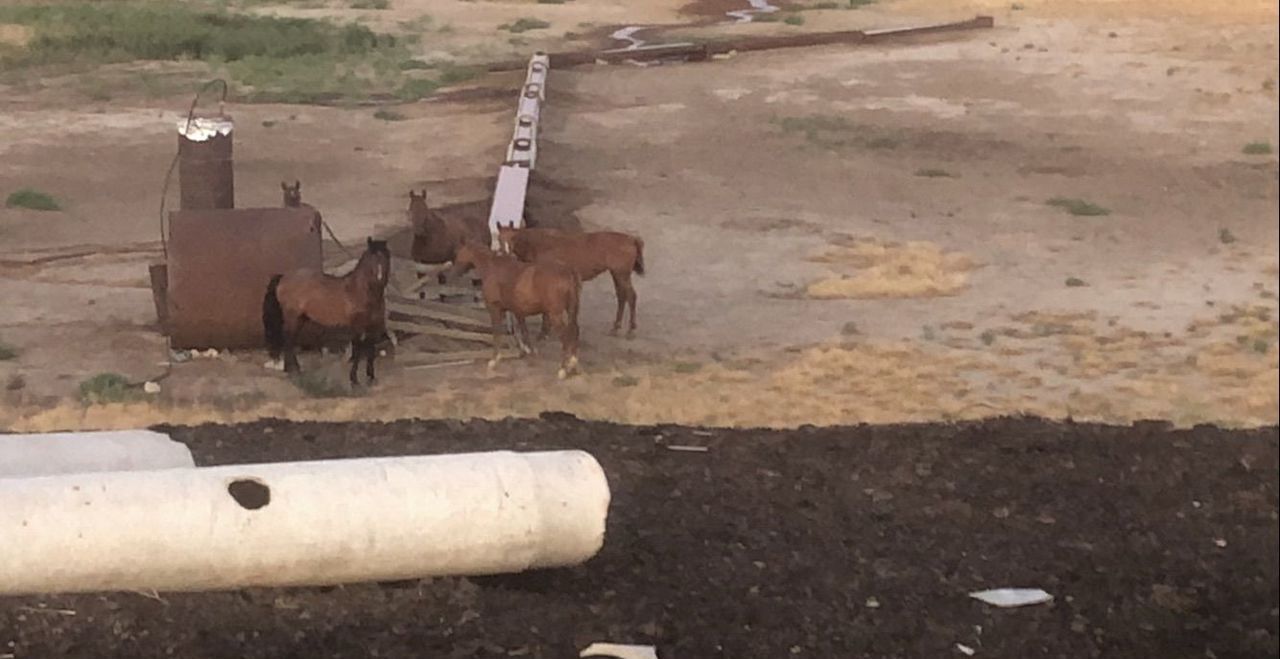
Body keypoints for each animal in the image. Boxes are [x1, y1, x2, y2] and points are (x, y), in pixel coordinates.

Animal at [262, 238, 391, 386]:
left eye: (386, 257)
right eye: (372, 258)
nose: (379, 278)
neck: (361, 292)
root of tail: (283, 277)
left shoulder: (374, 327)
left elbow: (371, 351)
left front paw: (371, 377)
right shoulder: (357, 327)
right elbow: (358, 350)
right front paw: (354, 379)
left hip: (300, 318)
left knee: (290, 340)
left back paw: (292, 370)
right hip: (292, 317)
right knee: (288, 340)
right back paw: (293, 370)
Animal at [437, 239, 583, 378]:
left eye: (458, 252)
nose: (451, 273)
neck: (491, 268)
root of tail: (567, 272)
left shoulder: (495, 309)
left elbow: (497, 333)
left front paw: (494, 361)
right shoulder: (517, 311)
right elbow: (524, 333)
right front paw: (530, 354)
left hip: (555, 314)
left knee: (566, 336)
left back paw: (563, 369)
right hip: (571, 311)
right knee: (574, 331)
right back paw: (573, 365)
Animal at [494, 225, 645, 340]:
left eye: (513, 239)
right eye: (499, 238)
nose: (505, 254)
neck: (539, 244)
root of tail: (632, 239)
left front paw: (544, 333)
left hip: (621, 275)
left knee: (631, 297)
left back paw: (631, 330)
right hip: (617, 275)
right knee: (622, 297)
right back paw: (616, 328)